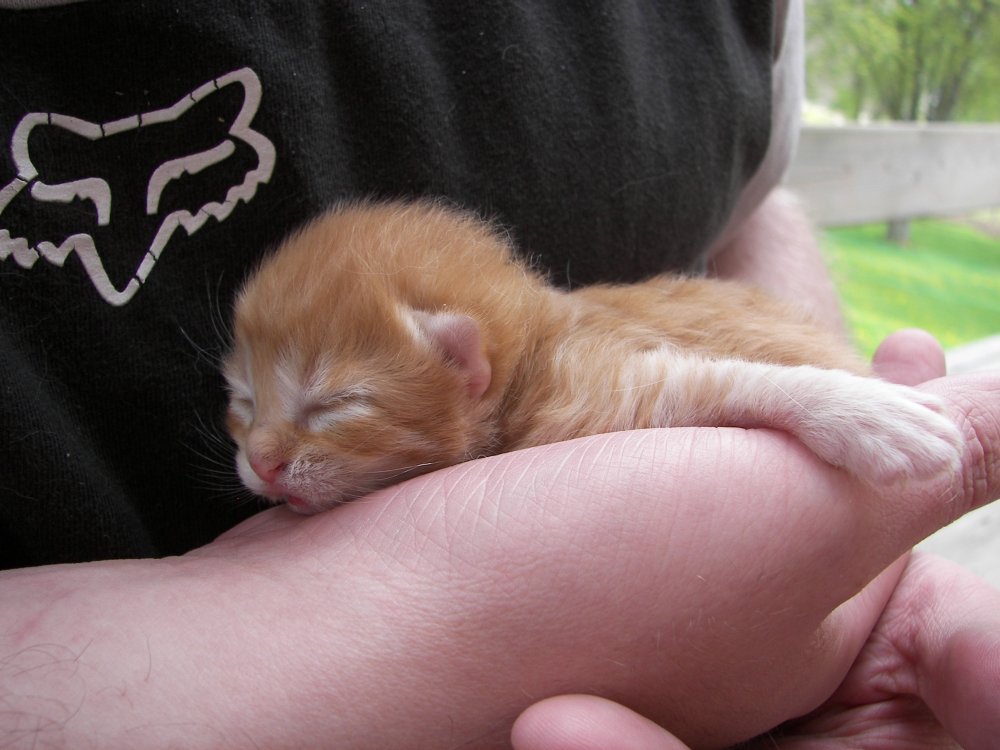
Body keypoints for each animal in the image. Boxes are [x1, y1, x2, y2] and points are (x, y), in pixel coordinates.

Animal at [225, 201, 960, 516]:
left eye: (335, 405)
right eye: (243, 402)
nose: (261, 461)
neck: (533, 358)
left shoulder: (605, 385)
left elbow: (733, 379)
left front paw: (869, 416)